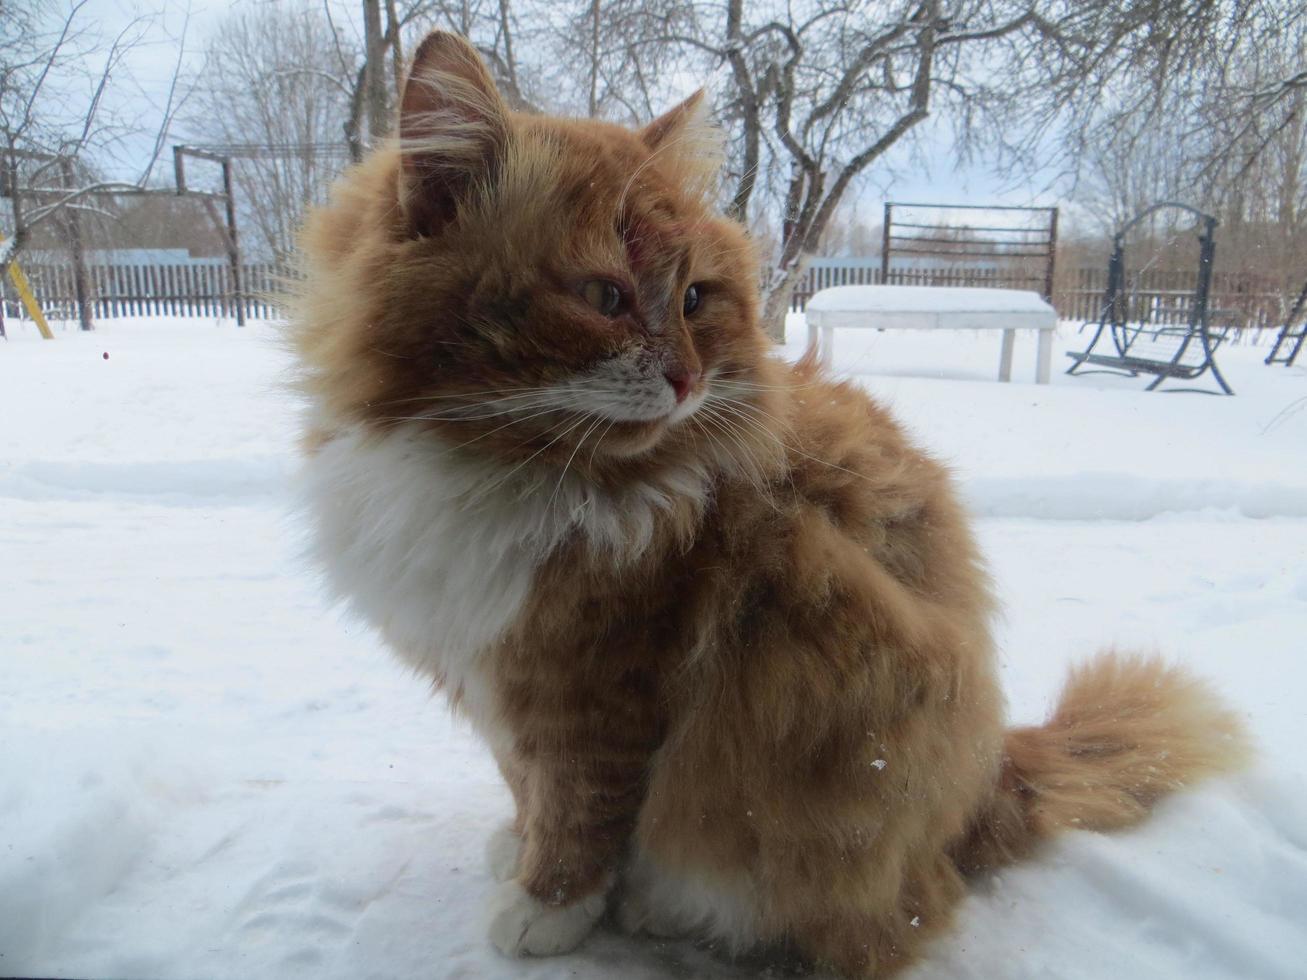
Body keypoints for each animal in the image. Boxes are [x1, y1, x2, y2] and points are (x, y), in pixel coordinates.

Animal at [291, 32, 1249, 980]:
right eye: (603, 297)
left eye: (692, 300)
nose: (685, 379)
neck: (501, 464)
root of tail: (988, 783)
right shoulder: (496, 676)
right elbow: (526, 786)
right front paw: (518, 850)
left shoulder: (593, 683)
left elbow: (577, 809)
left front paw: (546, 907)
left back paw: (663, 913)